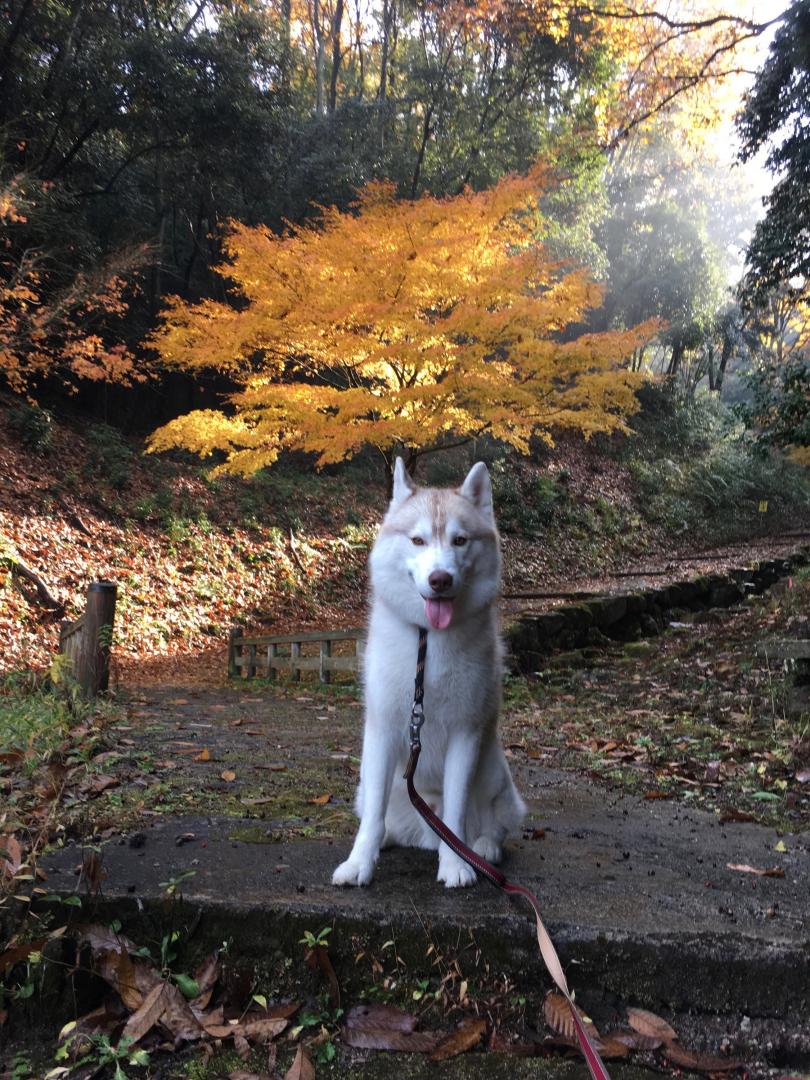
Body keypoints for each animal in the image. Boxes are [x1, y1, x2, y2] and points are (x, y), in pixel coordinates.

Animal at [330, 460, 527, 889]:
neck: (428, 639)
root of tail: (423, 830)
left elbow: (455, 813)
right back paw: (389, 837)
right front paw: (359, 863)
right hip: (372, 782)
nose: (440, 579)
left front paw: (455, 864)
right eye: (418, 540)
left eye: (460, 540)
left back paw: (484, 847)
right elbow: (372, 816)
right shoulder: (383, 727)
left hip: (492, 770)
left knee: (491, 822)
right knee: (382, 815)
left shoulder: (466, 731)